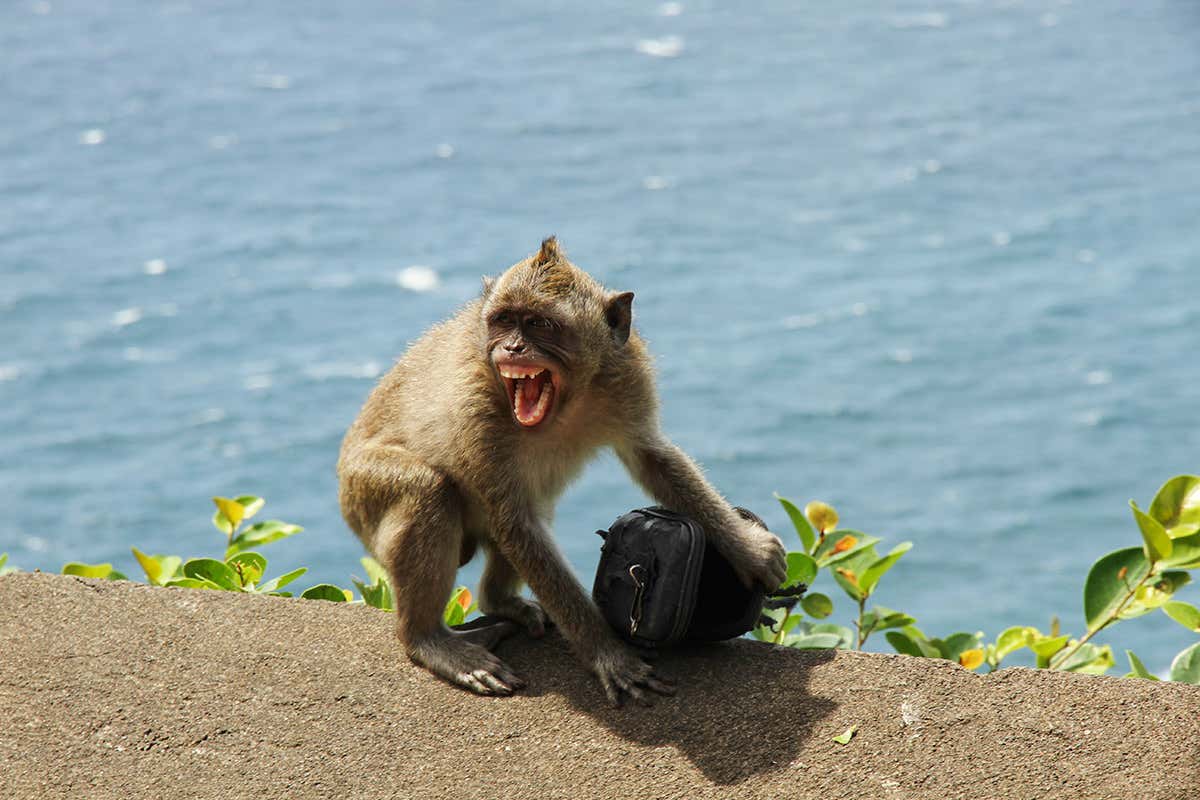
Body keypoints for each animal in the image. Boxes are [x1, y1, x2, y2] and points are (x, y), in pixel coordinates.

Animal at [337, 237, 787, 706]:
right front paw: (609, 654)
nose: (513, 349)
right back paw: (429, 640)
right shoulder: (474, 408)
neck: (568, 402)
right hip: (362, 493)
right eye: (504, 321)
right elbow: (515, 524)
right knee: (427, 489)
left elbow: (652, 458)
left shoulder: (627, 373)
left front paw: (749, 552)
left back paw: (499, 601)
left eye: (540, 324)